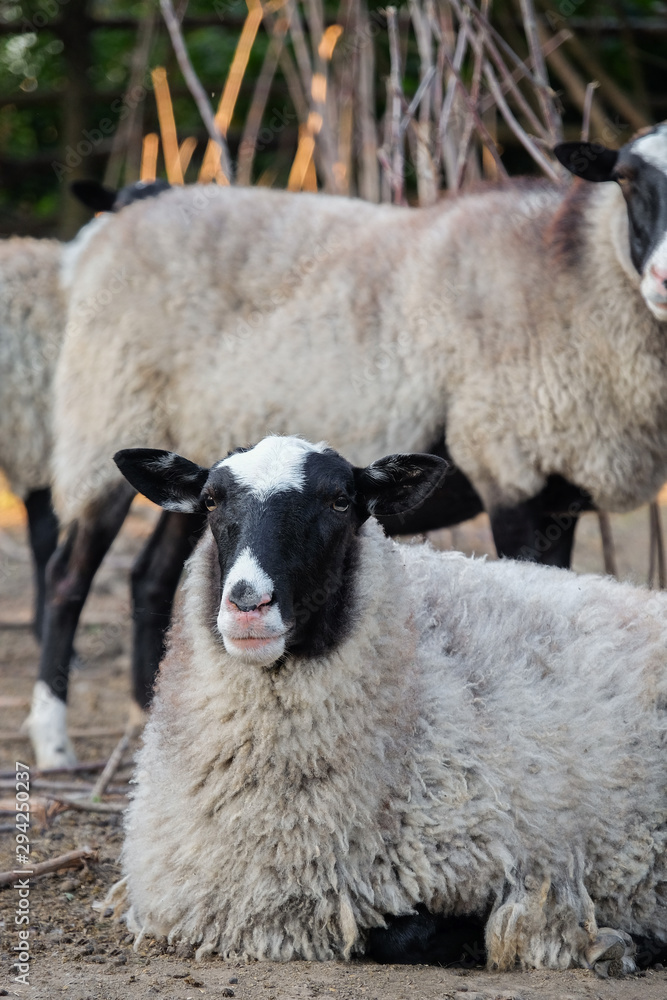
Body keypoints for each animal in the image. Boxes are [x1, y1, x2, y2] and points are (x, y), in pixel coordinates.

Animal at [31, 123, 667, 764]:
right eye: (627, 180)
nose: (665, 280)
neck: (564, 266)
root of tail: (116, 223)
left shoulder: (560, 485)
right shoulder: (509, 463)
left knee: (149, 575)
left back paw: (153, 712)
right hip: (107, 415)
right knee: (65, 579)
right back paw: (54, 739)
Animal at [109, 436, 667, 968]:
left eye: (340, 502)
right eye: (209, 501)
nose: (248, 604)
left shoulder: (510, 863)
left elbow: (409, 935)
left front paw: (604, 942)